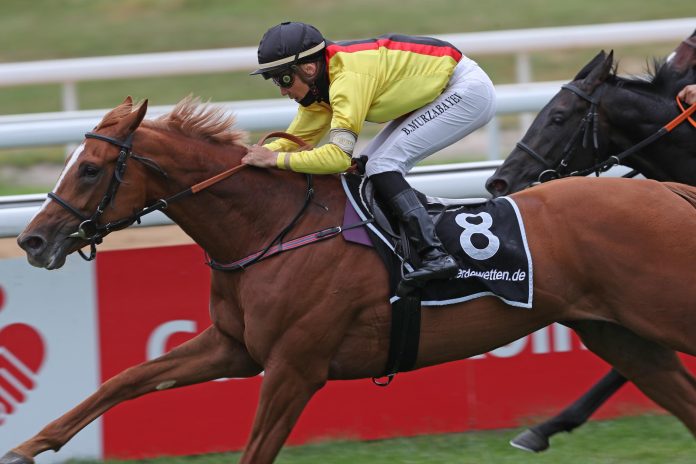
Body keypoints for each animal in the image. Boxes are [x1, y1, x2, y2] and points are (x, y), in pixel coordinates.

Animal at [5, 96, 696, 464]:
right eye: (74, 162)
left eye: (91, 169)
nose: (33, 240)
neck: (270, 229)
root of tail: (668, 189)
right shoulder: (235, 347)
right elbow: (125, 379)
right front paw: (28, 445)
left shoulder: (295, 367)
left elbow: (255, 449)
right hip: (621, 336)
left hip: (666, 313)